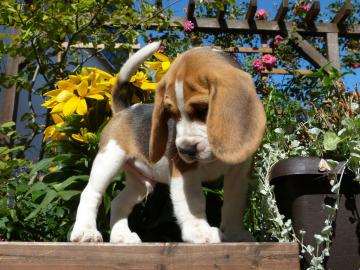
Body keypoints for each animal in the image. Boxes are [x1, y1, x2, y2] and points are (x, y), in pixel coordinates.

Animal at [70, 41, 266, 244]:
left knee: (119, 202)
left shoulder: (239, 173)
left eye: (204, 109)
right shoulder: (184, 170)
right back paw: (86, 232)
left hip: (141, 183)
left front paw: (235, 234)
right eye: (171, 114)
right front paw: (199, 231)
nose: (185, 150)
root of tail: (125, 110)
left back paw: (121, 236)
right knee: (90, 193)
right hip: (109, 159)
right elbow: (194, 200)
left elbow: (234, 204)